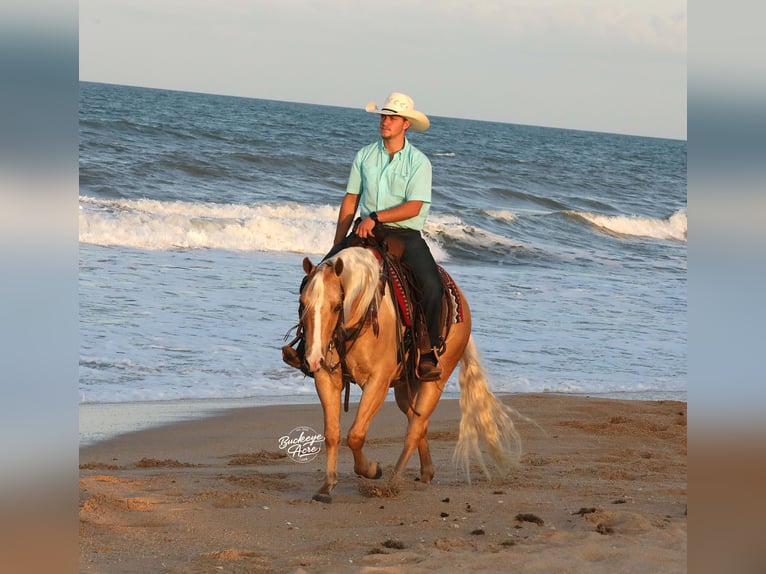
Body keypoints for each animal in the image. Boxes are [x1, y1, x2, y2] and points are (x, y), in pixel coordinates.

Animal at [296, 246, 521, 503]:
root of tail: (462, 302)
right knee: (418, 420)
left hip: (436, 380)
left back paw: (392, 482)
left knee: (414, 429)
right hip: (405, 387)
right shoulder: (326, 378)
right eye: (302, 302)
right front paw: (327, 487)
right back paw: (426, 472)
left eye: (335, 306)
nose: (313, 358)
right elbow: (332, 433)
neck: (363, 311)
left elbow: (356, 435)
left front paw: (372, 469)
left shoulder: (378, 382)